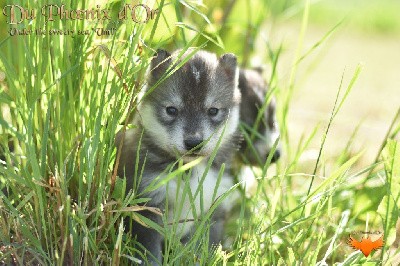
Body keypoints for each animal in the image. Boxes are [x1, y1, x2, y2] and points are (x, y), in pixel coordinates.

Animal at [115, 48, 241, 262]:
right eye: (171, 110)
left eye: (213, 111)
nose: (193, 142)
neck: (188, 171)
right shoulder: (146, 208)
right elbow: (150, 255)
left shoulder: (213, 212)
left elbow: (202, 252)